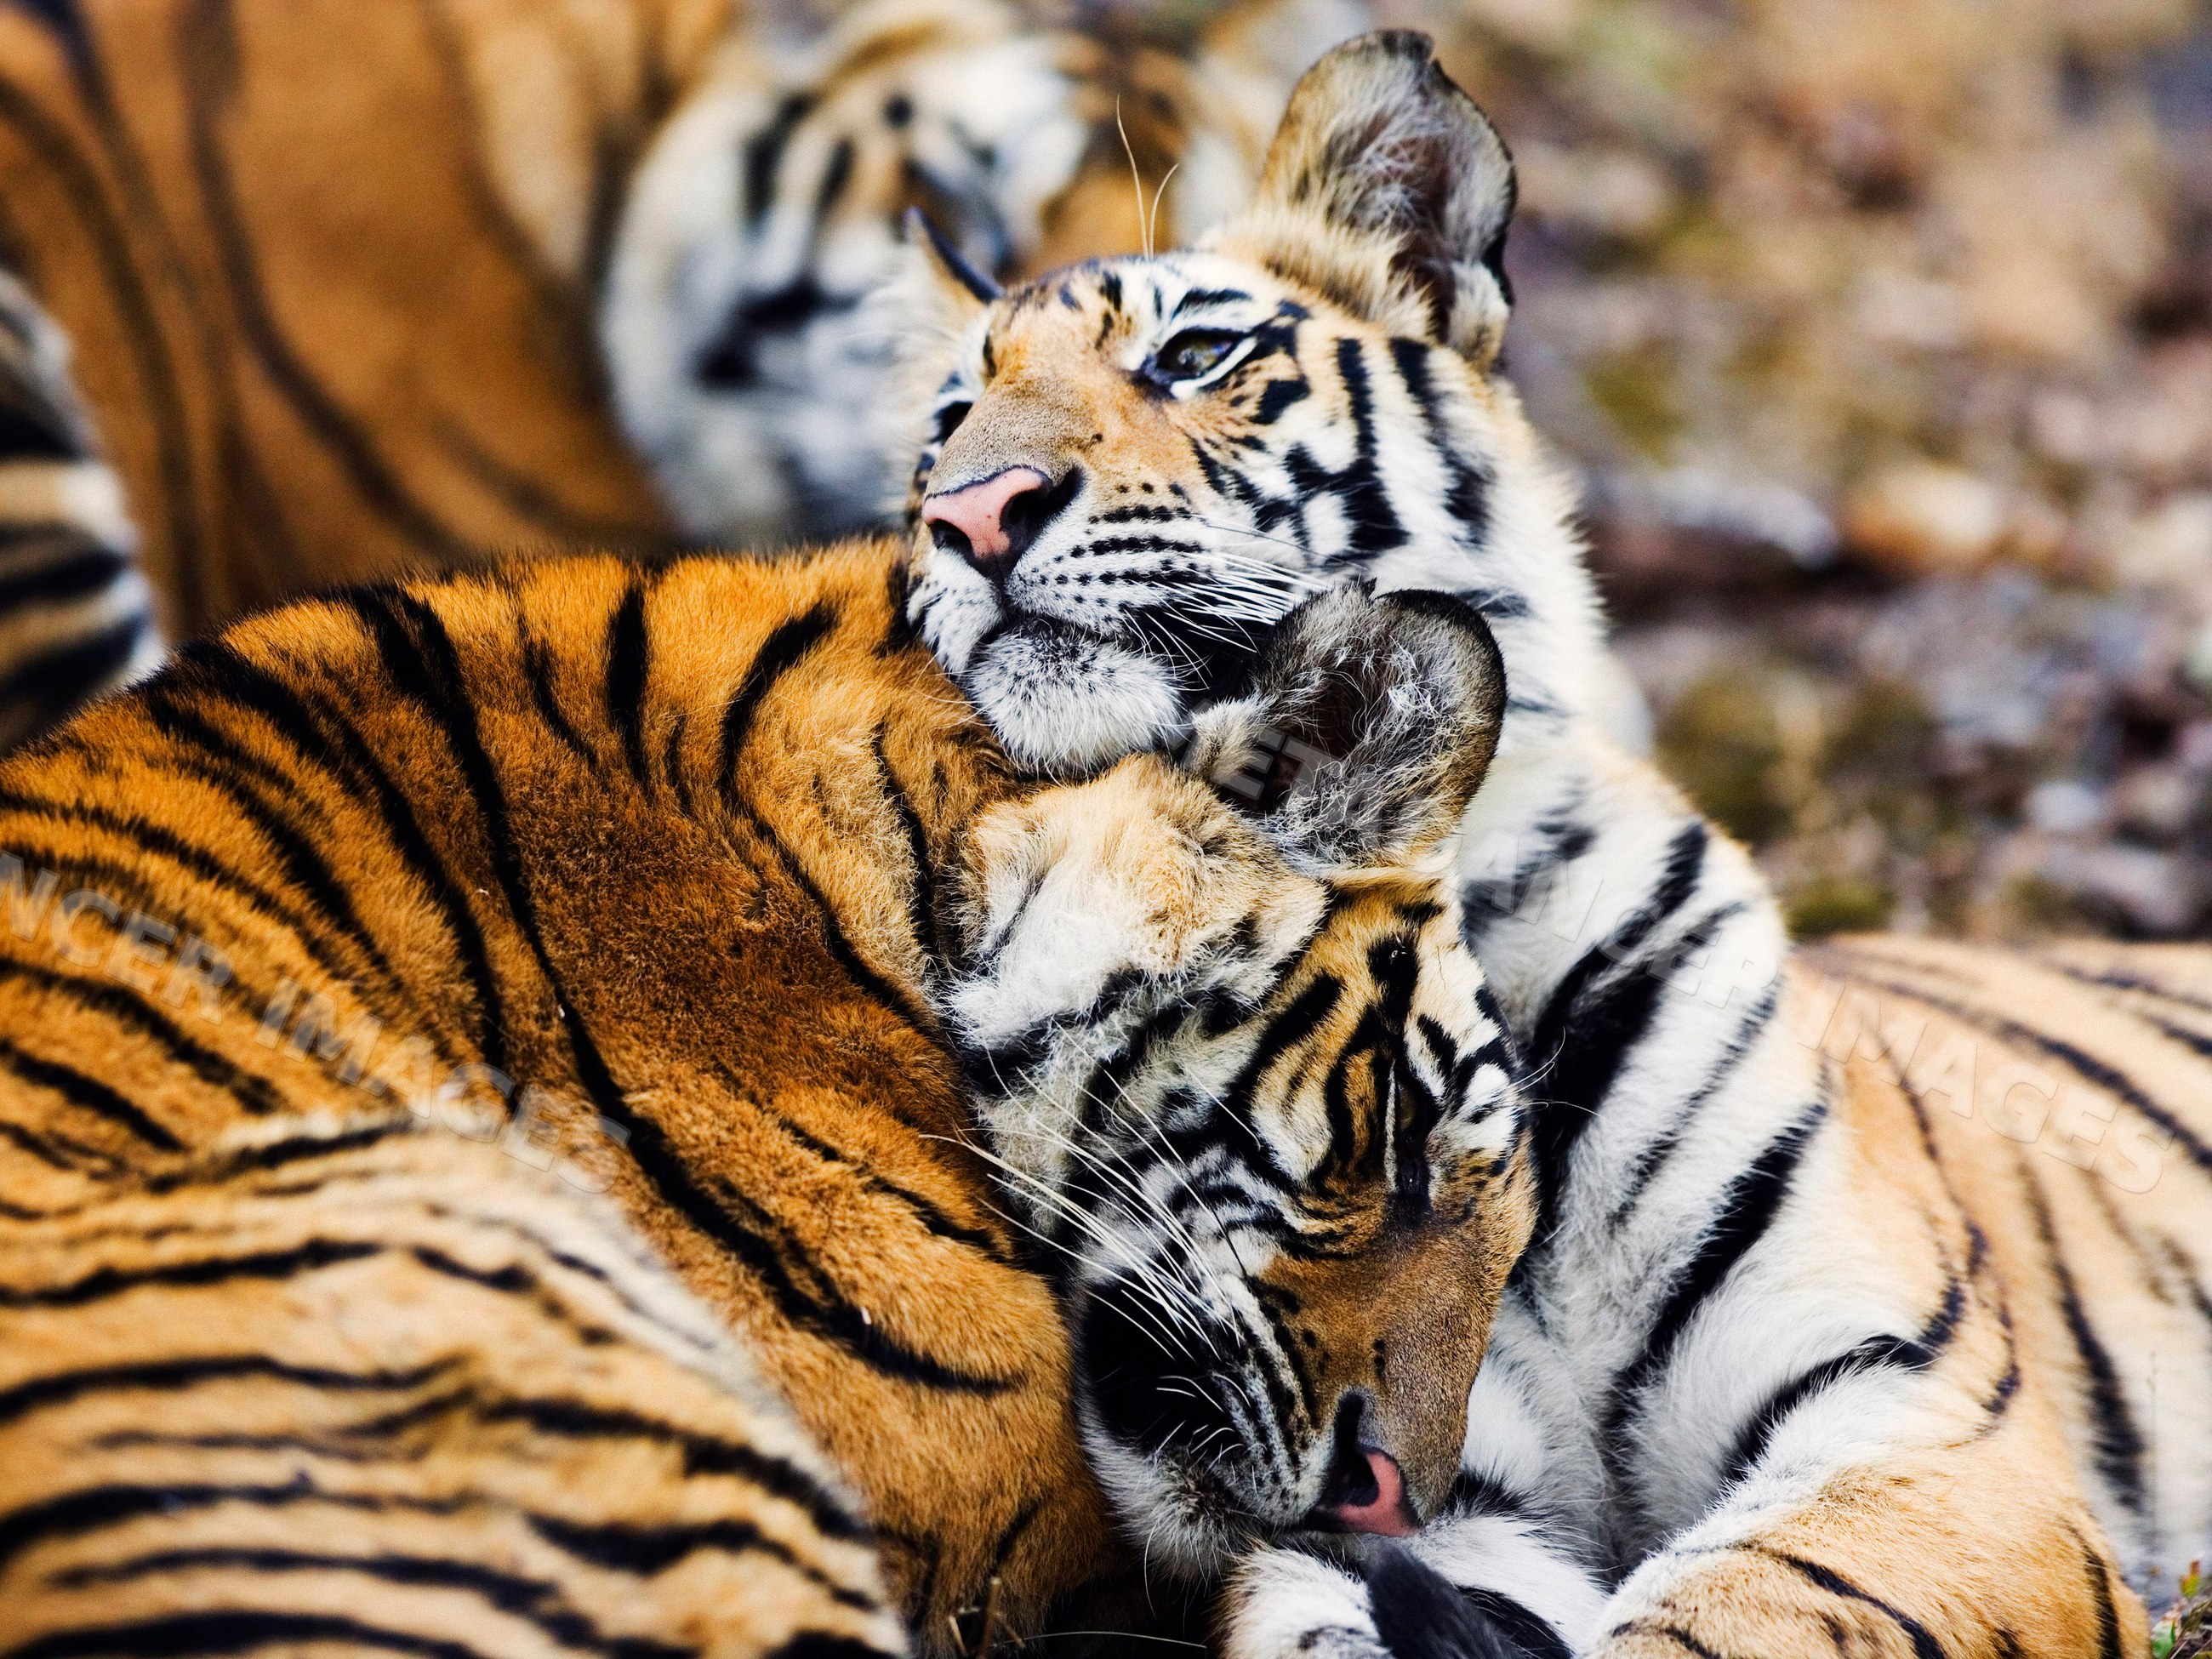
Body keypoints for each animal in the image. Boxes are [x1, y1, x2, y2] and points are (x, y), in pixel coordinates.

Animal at [885, 30, 2212, 1657]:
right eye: (945, 426)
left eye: (1193, 358)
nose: (967, 511)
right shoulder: (1422, 1483)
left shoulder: (1926, 1419)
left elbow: (1739, 1613)